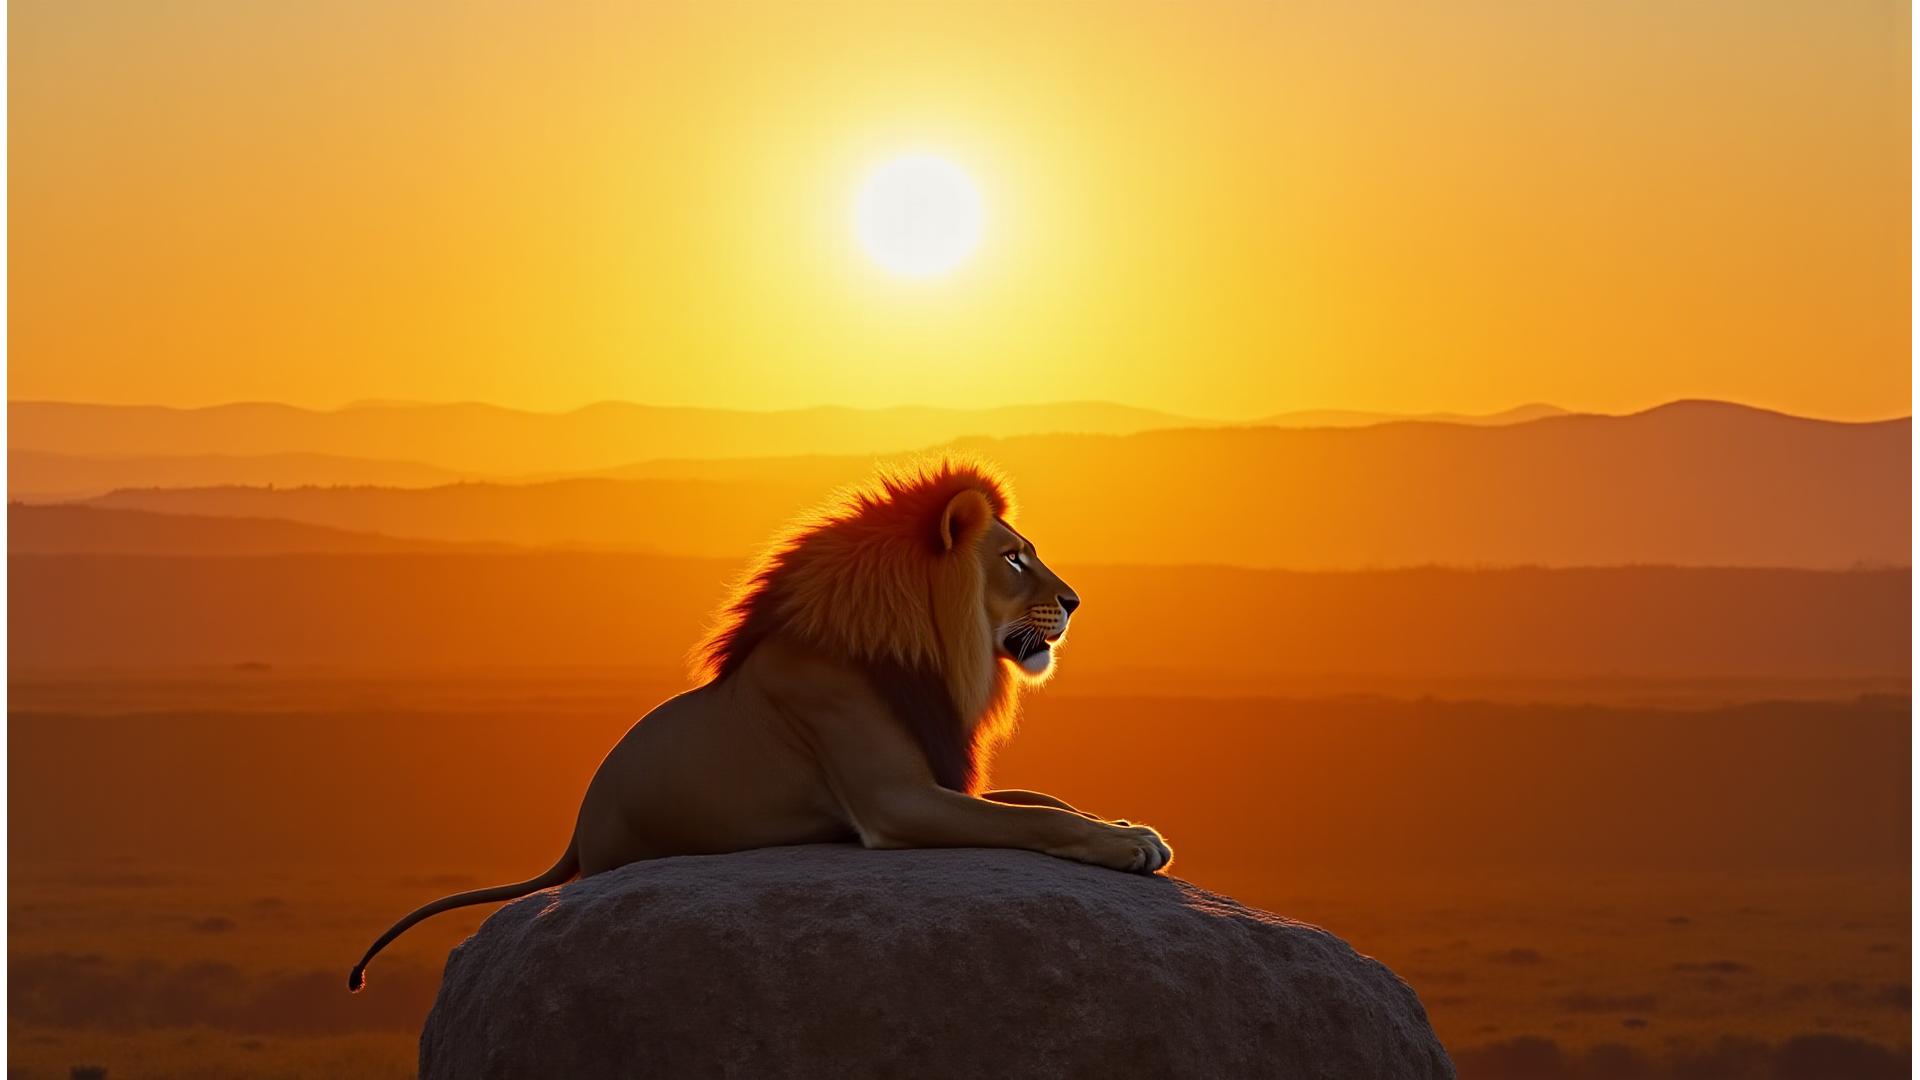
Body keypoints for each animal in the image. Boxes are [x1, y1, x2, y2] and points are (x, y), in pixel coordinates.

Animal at [348, 457, 1170, 992]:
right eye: (1015, 559)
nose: (1076, 601)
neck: (930, 648)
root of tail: (578, 832)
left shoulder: (930, 781)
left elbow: (1043, 801)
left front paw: (1130, 824)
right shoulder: (894, 804)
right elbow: (1033, 820)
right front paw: (1127, 845)